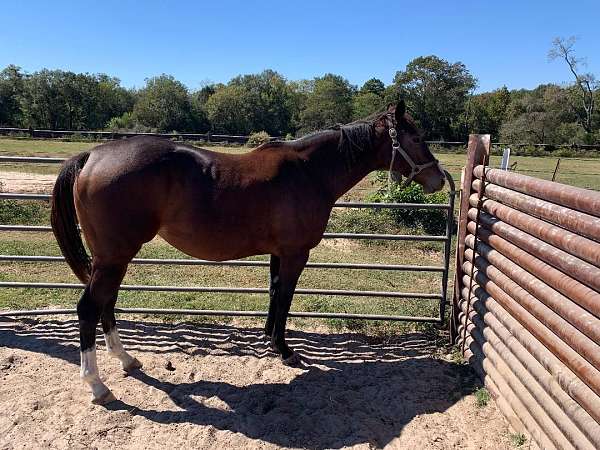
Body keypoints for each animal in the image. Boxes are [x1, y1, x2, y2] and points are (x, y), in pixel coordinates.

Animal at [51, 100, 446, 402]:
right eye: (415, 136)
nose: (439, 179)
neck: (309, 172)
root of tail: (92, 155)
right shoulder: (295, 254)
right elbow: (285, 297)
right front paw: (285, 351)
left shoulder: (278, 253)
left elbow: (273, 294)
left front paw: (268, 338)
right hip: (113, 257)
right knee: (89, 308)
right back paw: (97, 385)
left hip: (110, 259)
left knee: (106, 304)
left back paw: (127, 360)